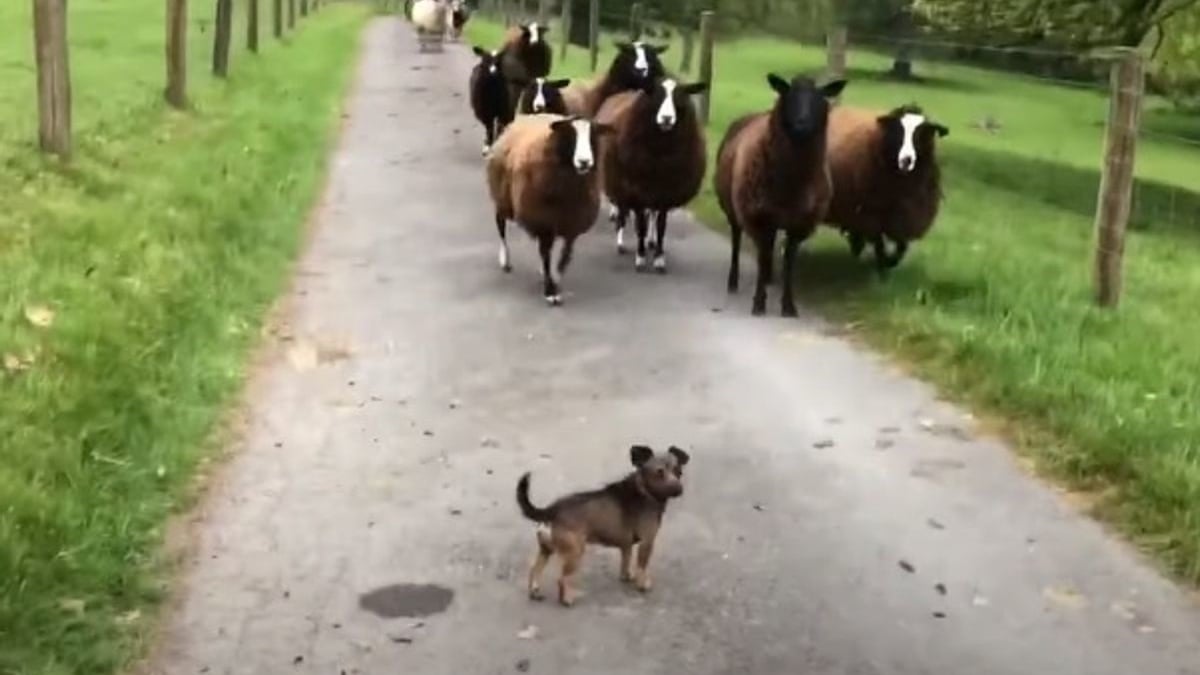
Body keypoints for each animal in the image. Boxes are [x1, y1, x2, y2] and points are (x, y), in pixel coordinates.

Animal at [489, 114, 619, 303]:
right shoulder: (544, 222)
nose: (585, 162)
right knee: (501, 226)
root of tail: (525, 117)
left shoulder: (571, 224)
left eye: (593, 134)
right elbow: (545, 255)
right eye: (570, 133)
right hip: (502, 198)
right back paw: (505, 259)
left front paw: (555, 278)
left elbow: (565, 256)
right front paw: (550, 291)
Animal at [516, 441, 696, 605]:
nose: (678, 489)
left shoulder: (626, 545)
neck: (644, 490)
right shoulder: (647, 541)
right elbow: (642, 566)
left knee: (535, 569)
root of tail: (552, 509)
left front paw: (626, 576)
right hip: (575, 552)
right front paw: (642, 584)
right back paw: (566, 599)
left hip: (546, 550)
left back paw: (534, 590)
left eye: (679, 472)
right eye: (659, 473)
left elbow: (626, 562)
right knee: (562, 579)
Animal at [595, 76, 705, 270]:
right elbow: (640, 225)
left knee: (650, 215)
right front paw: (640, 257)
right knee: (623, 212)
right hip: (619, 182)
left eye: (679, 97)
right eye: (656, 95)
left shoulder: (665, 193)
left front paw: (659, 258)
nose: (667, 118)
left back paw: (650, 241)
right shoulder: (636, 190)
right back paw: (622, 242)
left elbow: (661, 226)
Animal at [715, 74, 849, 317]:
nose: (802, 123)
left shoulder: (799, 224)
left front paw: (789, 305)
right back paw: (734, 281)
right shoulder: (759, 217)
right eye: (789, 94)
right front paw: (759, 303)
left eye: (819, 98)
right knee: (737, 242)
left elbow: (789, 263)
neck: (791, 184)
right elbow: (763, 256)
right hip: (734, 208)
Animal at [825, 102, 945, 270]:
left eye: (922, 133)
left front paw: (890, 262)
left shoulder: (903, 217)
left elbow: (902, 246)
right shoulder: (872, 214)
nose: (906, 160)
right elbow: (880, 245)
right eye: (898, 130)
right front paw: (883, 265)